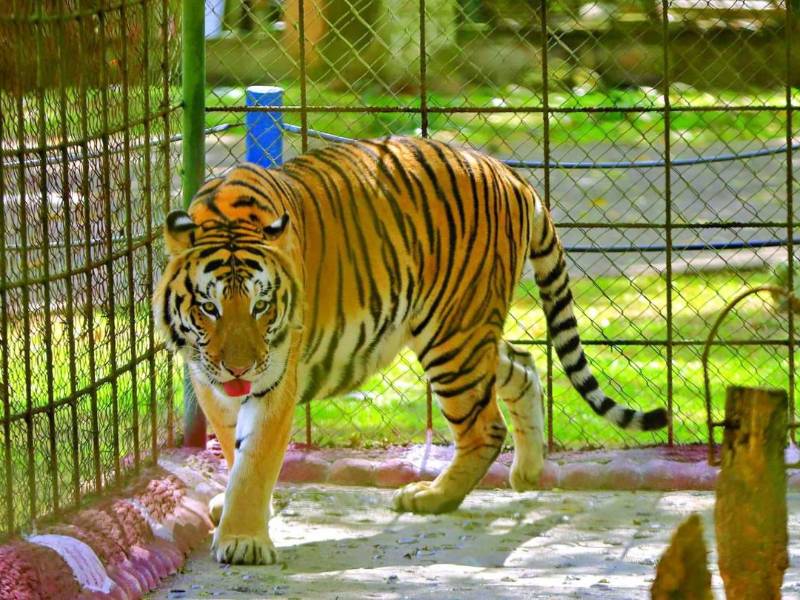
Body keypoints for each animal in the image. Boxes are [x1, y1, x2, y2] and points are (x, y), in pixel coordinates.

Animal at [154, 136, 667, 565]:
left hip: (452, 336)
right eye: (209, 307)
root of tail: (510, 173)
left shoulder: (277, 376)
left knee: (485, 427)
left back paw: (433, 497)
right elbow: (231, 443)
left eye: (260, 306)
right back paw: (527, 472)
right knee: (522, 365)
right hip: (466, 332)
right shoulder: (207, 378)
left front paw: (243, 539)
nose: (239, 368)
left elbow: (256, 457)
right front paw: (239, 506)